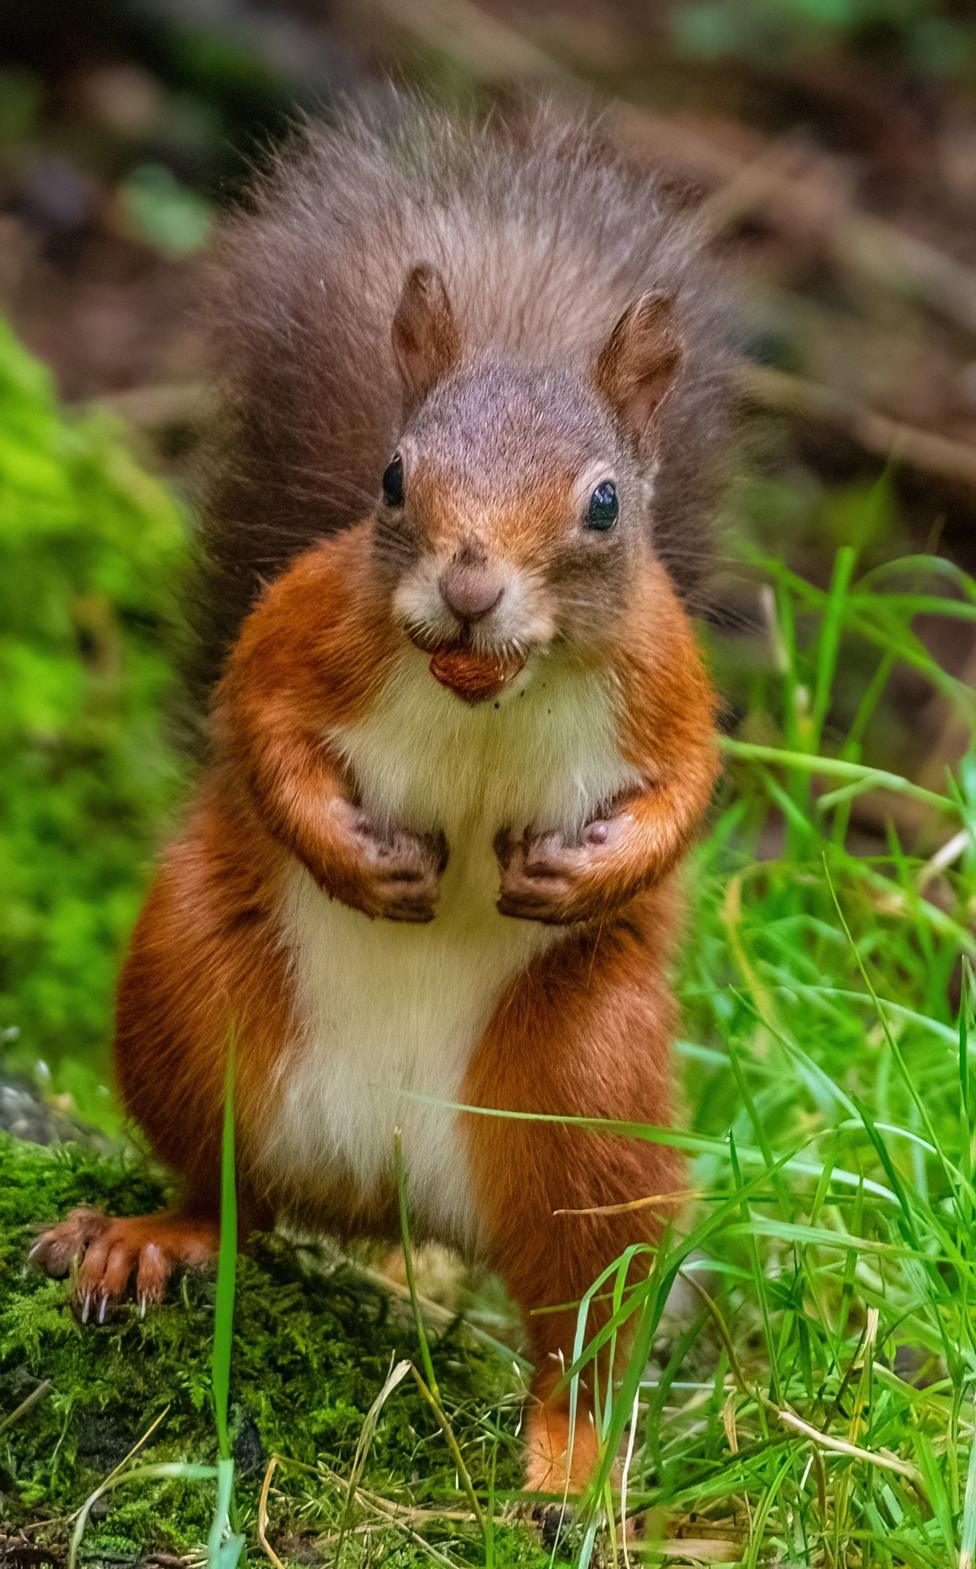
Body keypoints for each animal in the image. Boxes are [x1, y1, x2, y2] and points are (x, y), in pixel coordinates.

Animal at [32, 93, 730, 1494]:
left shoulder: (669, 683)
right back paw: (152, 1238)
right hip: (190, 1001)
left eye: (604, 504)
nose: (467, 588)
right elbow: (257, 729)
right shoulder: (303, 627)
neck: (484, 690)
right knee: (227, 1195)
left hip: (585, 1099)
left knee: (579, 1318)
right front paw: (361, 857)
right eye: (395, 479)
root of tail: (386, 1194)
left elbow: (688, 793)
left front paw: (586, 870)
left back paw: (570, 1460)